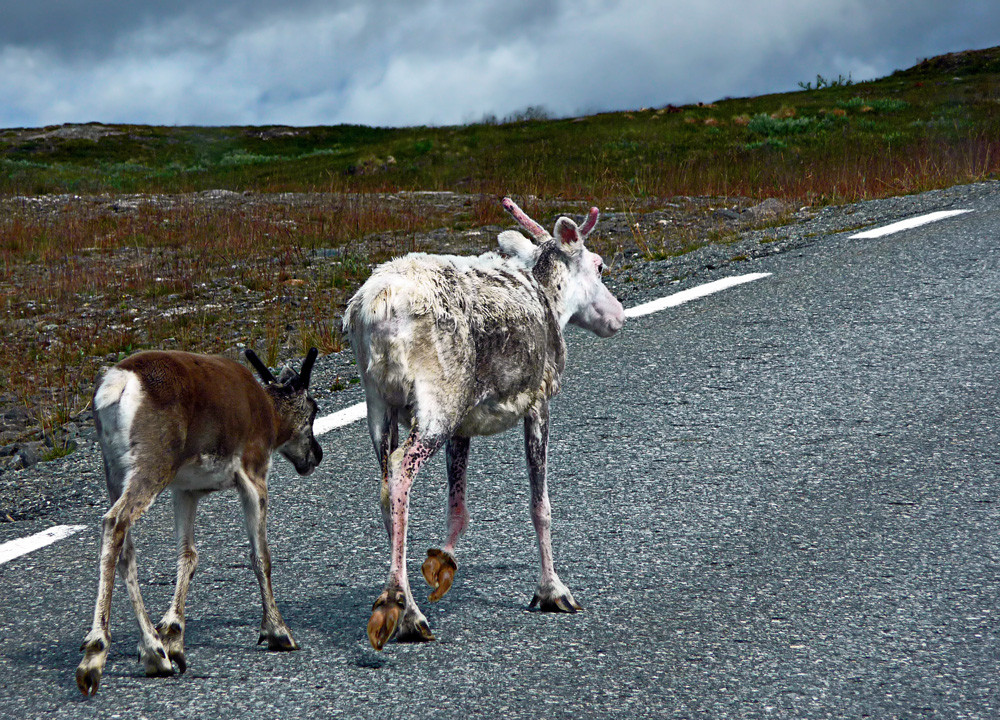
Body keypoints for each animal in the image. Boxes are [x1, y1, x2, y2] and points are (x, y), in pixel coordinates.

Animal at [76, 348, 322, 696]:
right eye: (314, 409)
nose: (316, 454)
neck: (269, 414)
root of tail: (118, 382)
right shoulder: (254, 473)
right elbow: (261, 556)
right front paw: (277, 631)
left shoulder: (186, 490)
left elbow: (188, 556)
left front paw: (173, 637)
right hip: (153, 464)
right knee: (115, 522)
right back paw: (96, 654)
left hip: (115, 472)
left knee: (126, 550)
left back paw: (154, 653)